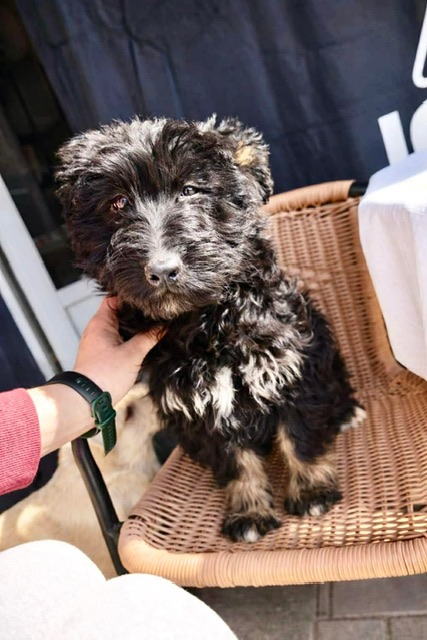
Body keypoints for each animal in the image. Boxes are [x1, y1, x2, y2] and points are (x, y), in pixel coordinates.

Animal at [55, 115, 364, 543]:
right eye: (117, 204)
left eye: (190, 190)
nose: (162, 270)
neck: (205, 322)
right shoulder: (196, 406)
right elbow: (234, 461)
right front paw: (249, 511)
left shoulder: (290, 366)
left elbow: (299, 436)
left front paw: (312, 490)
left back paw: (346, 412)